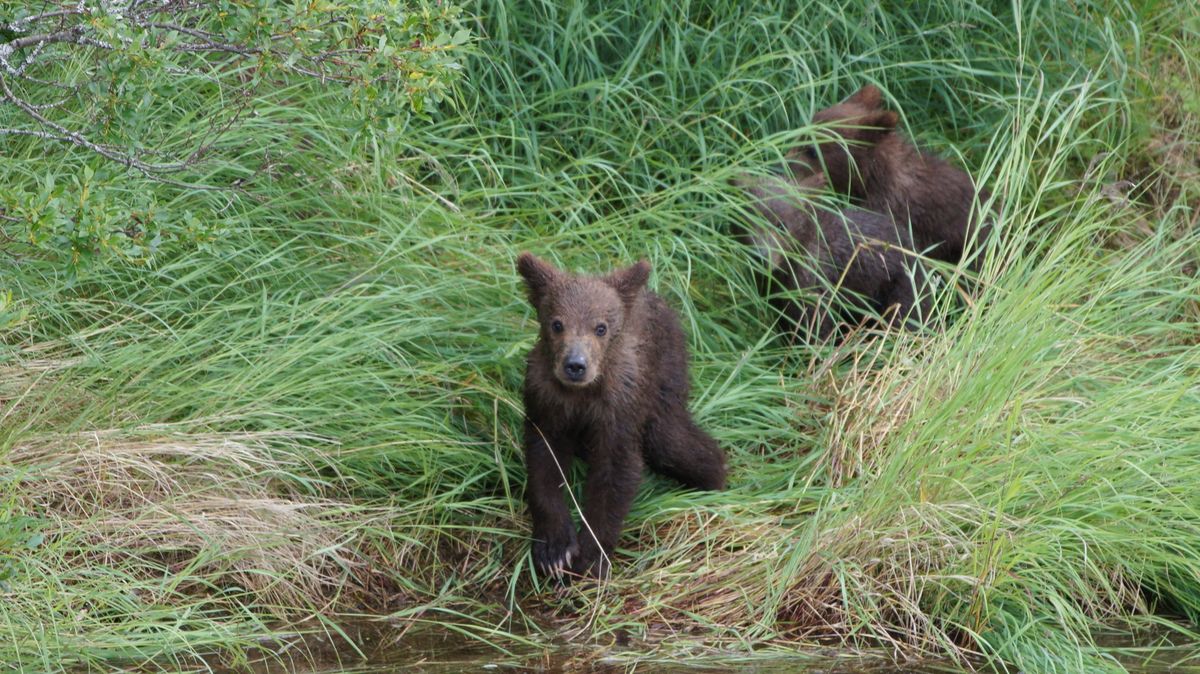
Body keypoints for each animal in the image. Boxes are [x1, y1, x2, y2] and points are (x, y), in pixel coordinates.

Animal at [516, 253, 727, 579]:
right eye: (557, 323)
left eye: (601, 327)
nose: (575, 365)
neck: (583, 395)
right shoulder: (545, 399)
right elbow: (544, 463)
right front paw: (555, 550)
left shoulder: (620, 406)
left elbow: (616, 471)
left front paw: (591, 556)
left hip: (665, 377)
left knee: (672, 442)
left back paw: (714, 482)